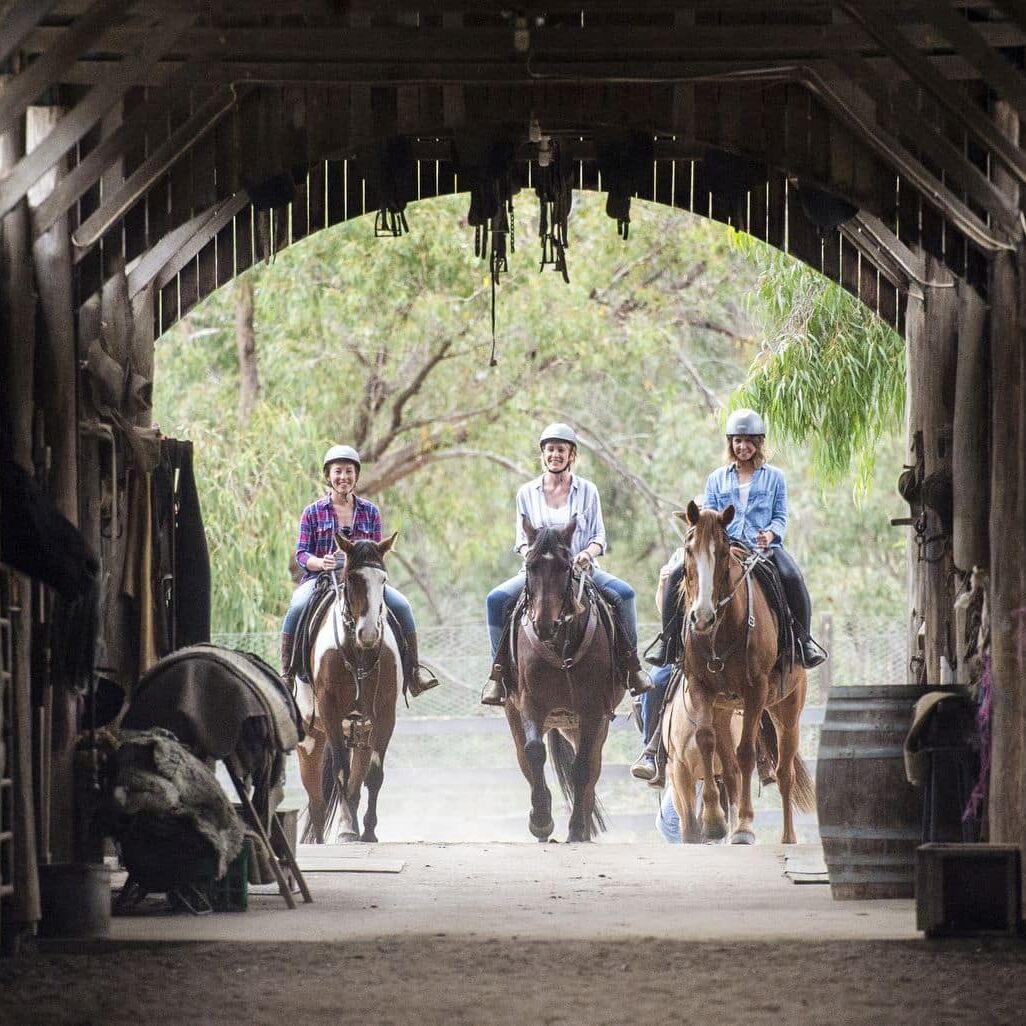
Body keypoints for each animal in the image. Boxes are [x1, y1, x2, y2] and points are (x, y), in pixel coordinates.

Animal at [296, 532, 401, 843]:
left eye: (383, 579)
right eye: (353, 578)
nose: (368, 634)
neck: (357, 655)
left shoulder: (383, 716)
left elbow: (373, 776)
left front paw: (367, 831)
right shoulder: (330, 714)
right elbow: (341, 772)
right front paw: (348, 830)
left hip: (360, 733)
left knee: (354, 785)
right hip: (311, 741)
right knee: (316, 801)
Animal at [504, 517, 625, 843]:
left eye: (566, 565)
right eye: (530, 565)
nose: (544, 624)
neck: (560, 647)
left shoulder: (592, 711)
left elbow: (582, 767)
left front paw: (575, 829)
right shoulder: (529, 704)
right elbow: (534, 753)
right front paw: (541, 821)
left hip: (586, 724)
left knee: (592, 768)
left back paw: (580, 829)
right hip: (521, 717)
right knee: (525, 760)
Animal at [677, 501, 816, 844]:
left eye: (724, 551)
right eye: (688, 549)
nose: (702, 617)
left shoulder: (755, 692)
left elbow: (746, 755)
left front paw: (743, 827)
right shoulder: (701, 688)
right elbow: (706, 741)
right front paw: (714, 820)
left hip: (786, 710)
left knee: (785, 772)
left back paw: (788, 837)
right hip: (724, 709)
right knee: (727, 766)